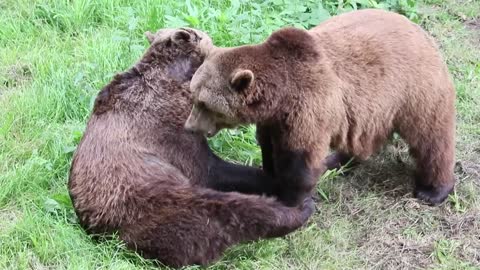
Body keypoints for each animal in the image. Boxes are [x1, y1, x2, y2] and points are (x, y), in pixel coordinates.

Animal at [68, 26, 316, 268]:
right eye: (205, 37)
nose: (217, 42)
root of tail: (100, 232)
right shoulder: (169, 130)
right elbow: (210, 168)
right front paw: (274, 181)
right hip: (148, 201)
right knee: (224, 212)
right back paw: (299, 209)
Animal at [185, 8, 458, 207]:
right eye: (193, 95)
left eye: (205, 104)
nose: (189, 127)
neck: (280, 96)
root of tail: (421, 32)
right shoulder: (273, 120)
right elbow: (269, 146)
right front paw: (272, 179)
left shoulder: (308, 108)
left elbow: (299, 160)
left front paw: (292, 199)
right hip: (375, 107)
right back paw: (338, 160)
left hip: (415, 92)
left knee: (431, 139)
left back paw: (433, 190)